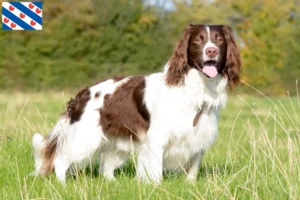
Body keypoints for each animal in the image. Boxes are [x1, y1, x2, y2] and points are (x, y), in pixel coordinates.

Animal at [31, 24, 241, 184]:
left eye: (219, 40)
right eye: (198, 40)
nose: (211, 50)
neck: (197, 89)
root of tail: (83, 93)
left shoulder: (199, 139)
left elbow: (193, 169)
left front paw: (190, 186)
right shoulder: (157, 140)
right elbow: (155, 171)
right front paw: (157, 188)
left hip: (116, 143)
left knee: (106, 168)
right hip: (85, 139)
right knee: (60, 160)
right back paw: (63, 185)